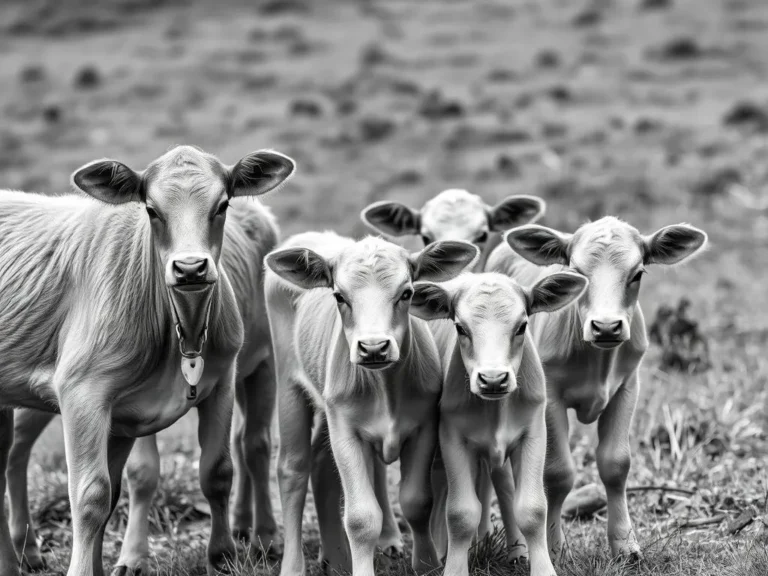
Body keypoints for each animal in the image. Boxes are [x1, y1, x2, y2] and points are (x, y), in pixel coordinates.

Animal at [0, 145, 294, 576]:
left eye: (222, 204)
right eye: (151, 209)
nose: (190, 267)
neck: (183, 332)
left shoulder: (217, 381)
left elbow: (216, 470)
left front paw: (222, 557)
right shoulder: (84, 393)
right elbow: (95, 494)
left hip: (264, 363)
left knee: (253, 443)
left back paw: (264, 537)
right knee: (14, 452)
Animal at [268, 232, 476, 576]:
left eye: (407, 293)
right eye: (339, 296)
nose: (374, 347)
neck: (385, 387)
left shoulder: (424, 426)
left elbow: (416, 501)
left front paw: (427, 563)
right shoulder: (345, 431)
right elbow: (361, 517)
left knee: (322, 467)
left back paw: (338, 558)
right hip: (288, 386)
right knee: (292, 469)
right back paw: (294, 566)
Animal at [412, 272, 584, 576]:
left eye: (522, 326)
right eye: (460, 328)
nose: (493, 379)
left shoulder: (533, 434)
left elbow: (532, 509)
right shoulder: (452, 438)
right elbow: (460, 513)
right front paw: (453, 566)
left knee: (503, 485)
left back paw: (516, 550)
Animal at [488, 217, 704, 564]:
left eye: (638, 273)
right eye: (577, 272)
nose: (605, 327)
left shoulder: (627, 387)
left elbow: (616, 464)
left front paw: (625, 545)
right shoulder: (551, 398)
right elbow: (557, 473)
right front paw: (555, 548)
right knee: (502, 478)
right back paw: (517, 547)